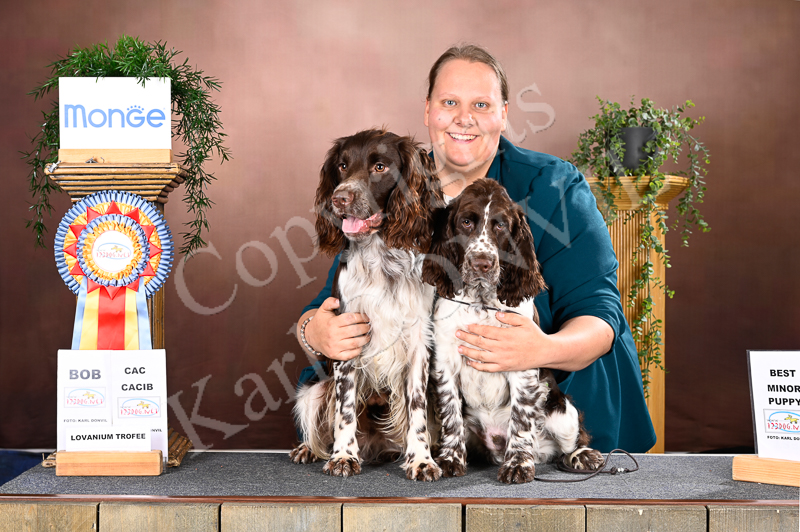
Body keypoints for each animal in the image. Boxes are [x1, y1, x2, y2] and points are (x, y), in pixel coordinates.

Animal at [290, 129, 444, 481]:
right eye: (343, 165)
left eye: (379, 167)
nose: (339, 199)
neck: (381, 259)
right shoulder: (346, 335)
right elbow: (345, 410)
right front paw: (344, 456)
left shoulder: (419, 341)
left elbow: (416, 408)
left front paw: (421, 459)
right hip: (313, 392)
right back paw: (308, 449)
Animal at [422, 178, 604, 483]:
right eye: (466, 222)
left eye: (500, 226)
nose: (482, 264)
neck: (481, 303)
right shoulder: (445, 363)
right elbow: (451, 416)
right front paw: (450, 459)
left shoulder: (522, 365)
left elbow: (520, 420)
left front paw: (517, 464)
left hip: (560, 409)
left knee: (571, 439)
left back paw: (582, 456)